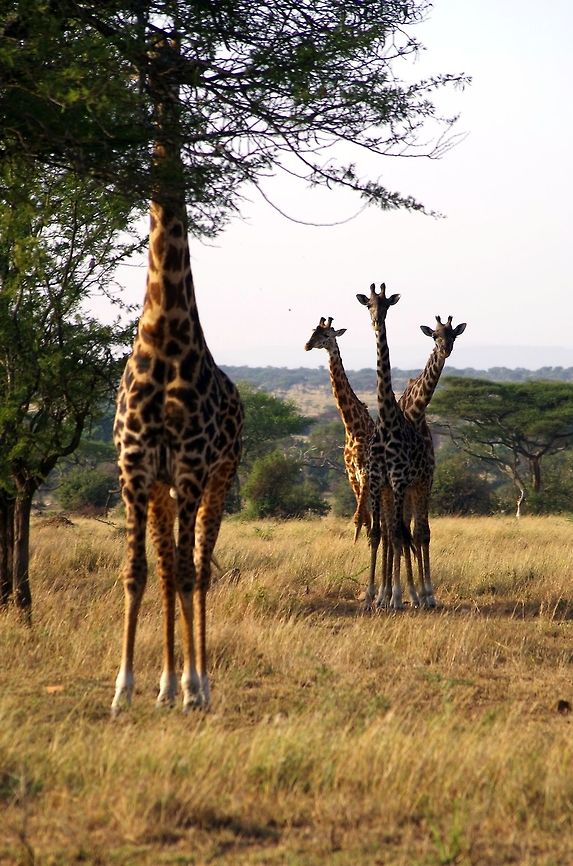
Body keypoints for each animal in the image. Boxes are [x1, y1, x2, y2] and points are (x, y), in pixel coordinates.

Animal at [304, 317, 375, 541]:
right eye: (312, 332)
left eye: (326, 334)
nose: (307, 345)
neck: (353, 428)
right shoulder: (351, 473)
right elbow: (364, 517)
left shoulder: (365, 471)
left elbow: (360, 516)